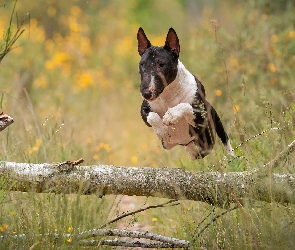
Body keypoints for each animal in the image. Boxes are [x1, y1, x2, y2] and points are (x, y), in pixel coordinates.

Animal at [138, 27, 235, 159]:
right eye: (142, 64)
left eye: (161, 64)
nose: (146, 93)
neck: (168, 95)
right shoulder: (144, 110)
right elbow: (151, 116)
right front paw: (162, 131)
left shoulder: (200, 118)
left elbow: (186, 106)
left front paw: (171, 115)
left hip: (213, 122)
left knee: (225, 141)